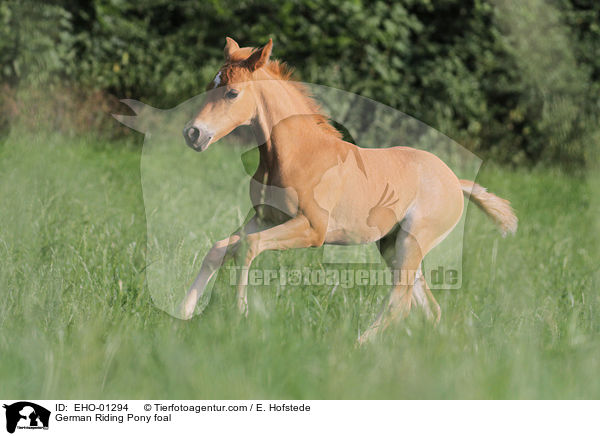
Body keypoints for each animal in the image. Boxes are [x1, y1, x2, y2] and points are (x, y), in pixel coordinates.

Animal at [179, 38, 516, 344]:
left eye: (232, 92)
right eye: (210, 85)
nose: (193, 133)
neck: (300, 154)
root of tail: (455, 182)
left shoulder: (312, 229)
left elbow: (248, 247)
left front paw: (241, 315)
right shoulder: (265, 218)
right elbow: (221, 248)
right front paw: (184, 312)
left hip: (412, 242)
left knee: (400, 301)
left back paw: (359, 345)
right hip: (393, 245)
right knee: (428, 307)